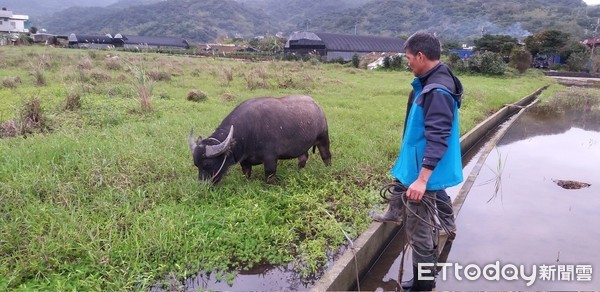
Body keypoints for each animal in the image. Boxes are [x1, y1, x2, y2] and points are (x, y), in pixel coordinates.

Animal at [190, 94, 330, 184]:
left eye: (208, 164)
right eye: (196, 164)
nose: (202, 185)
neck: (251, 130)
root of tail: (317, 106)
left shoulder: (270, 158)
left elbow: (269, 174)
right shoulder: (244, 160)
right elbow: (246, 172)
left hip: (323, 137)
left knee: (326, 155)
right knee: (303, 157)